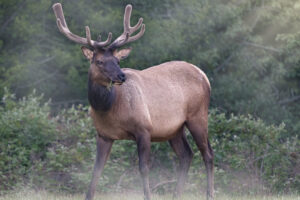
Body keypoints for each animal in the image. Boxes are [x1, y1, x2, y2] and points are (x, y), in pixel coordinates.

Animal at [52, 2, 214, 200]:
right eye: (99, 61)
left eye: (117, 60)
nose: (121, 76)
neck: (110, 107)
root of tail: (204, 75)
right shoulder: (103, 135)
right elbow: (96, 170)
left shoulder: (144, 129)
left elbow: (143, 168)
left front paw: (148, 196)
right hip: (174, 129)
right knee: (186, 155)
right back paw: (177, 195)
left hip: (198, 116)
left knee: (208, 154)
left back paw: (210, 194)